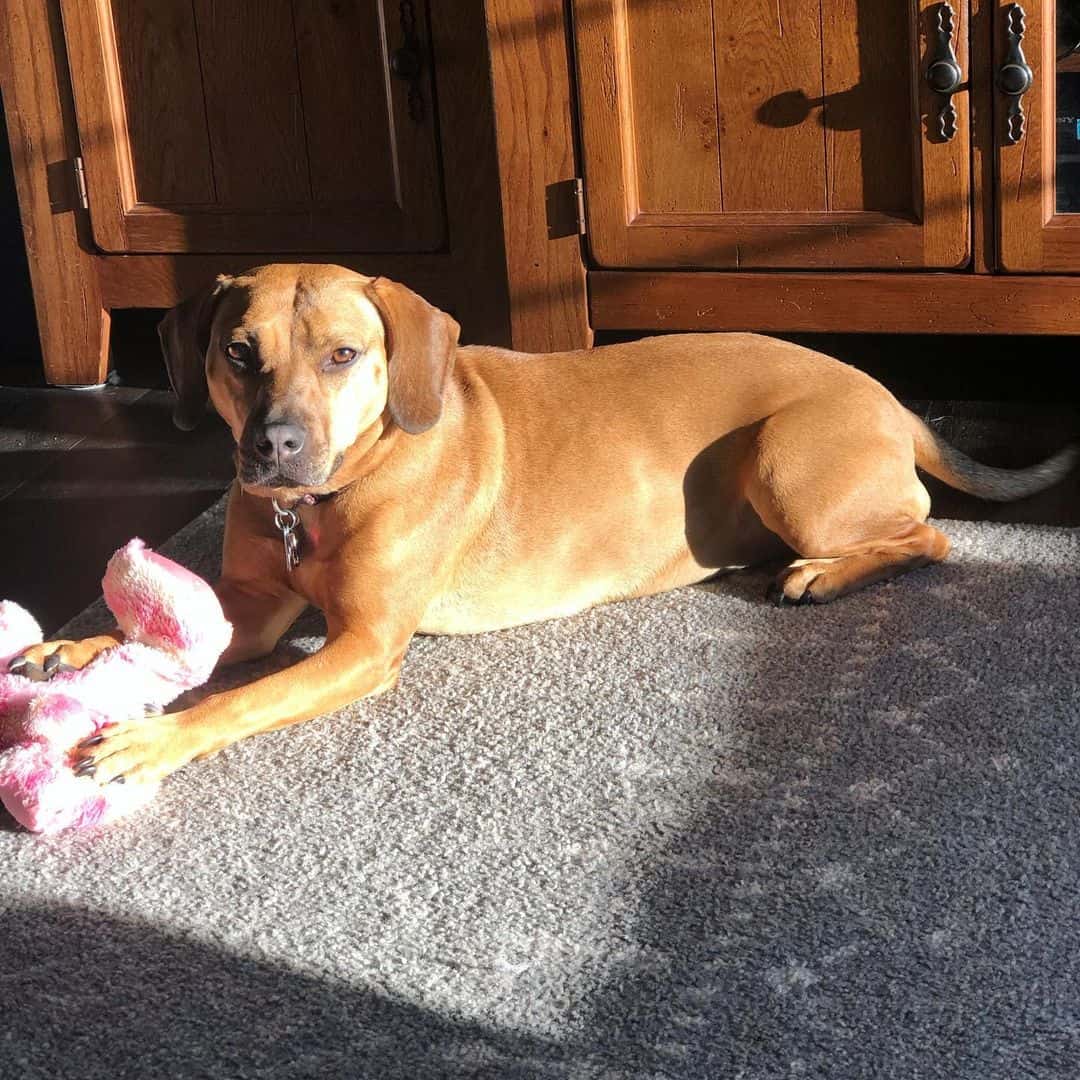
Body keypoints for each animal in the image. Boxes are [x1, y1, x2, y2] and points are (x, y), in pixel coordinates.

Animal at [25, 261, 1071, 786]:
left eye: (342, 355)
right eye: (238, 353)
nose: (272, 447)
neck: (332, 492)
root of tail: (891, 399)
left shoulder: (364, 645)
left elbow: (234, 701)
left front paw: (153, 739)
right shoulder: (257, 601)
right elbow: (159, 635)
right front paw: (77, 651)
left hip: (786, 457)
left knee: (929, 535)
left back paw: (821, 572)